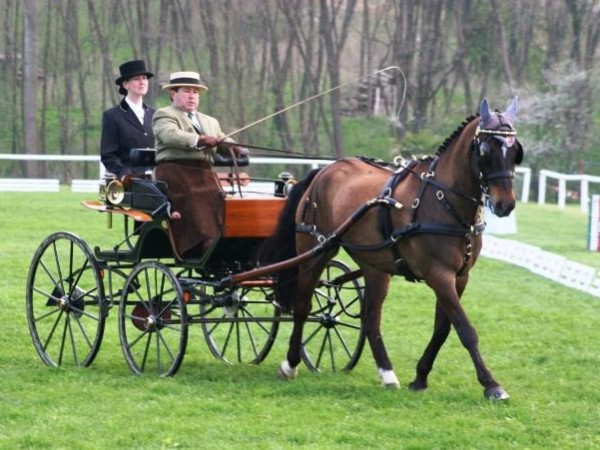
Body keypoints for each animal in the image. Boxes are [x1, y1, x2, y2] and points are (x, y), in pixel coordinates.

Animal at [260, 96, 524, 400]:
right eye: (484, 151)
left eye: (515, 151)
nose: (505, 205)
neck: (442, 199)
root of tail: (323, 171)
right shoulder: (438, 275)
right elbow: (464, 328)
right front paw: (491, 384)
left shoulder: (459, 277)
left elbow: (443, 328)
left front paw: (420, 376)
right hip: (316, 251)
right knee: (303, 305)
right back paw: (290, 363)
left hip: (374, 266)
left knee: (370, 317)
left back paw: (387, 373)